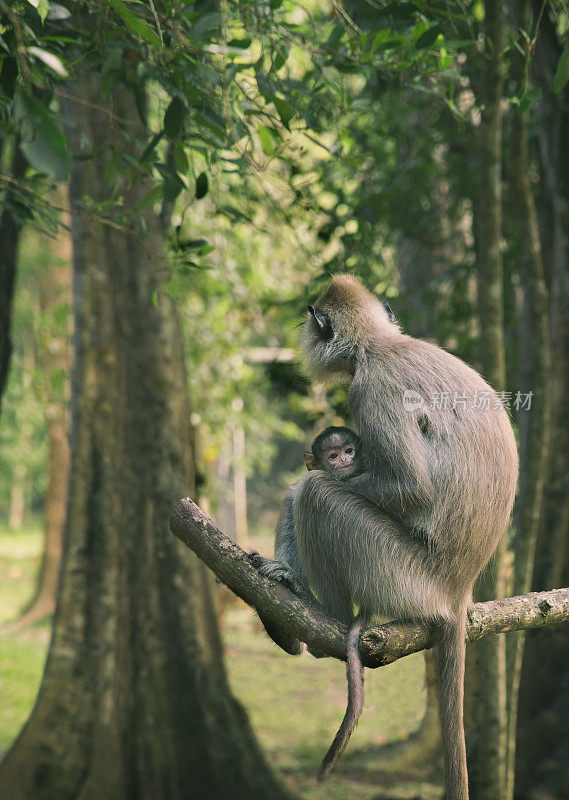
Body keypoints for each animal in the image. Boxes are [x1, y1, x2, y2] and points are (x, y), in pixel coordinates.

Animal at [296, 276, 516, 792]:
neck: (380, 345)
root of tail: (456, 590)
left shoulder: (369, 389)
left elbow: (413, 488)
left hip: (398, 571)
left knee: (319, 497)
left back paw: (327, 619)